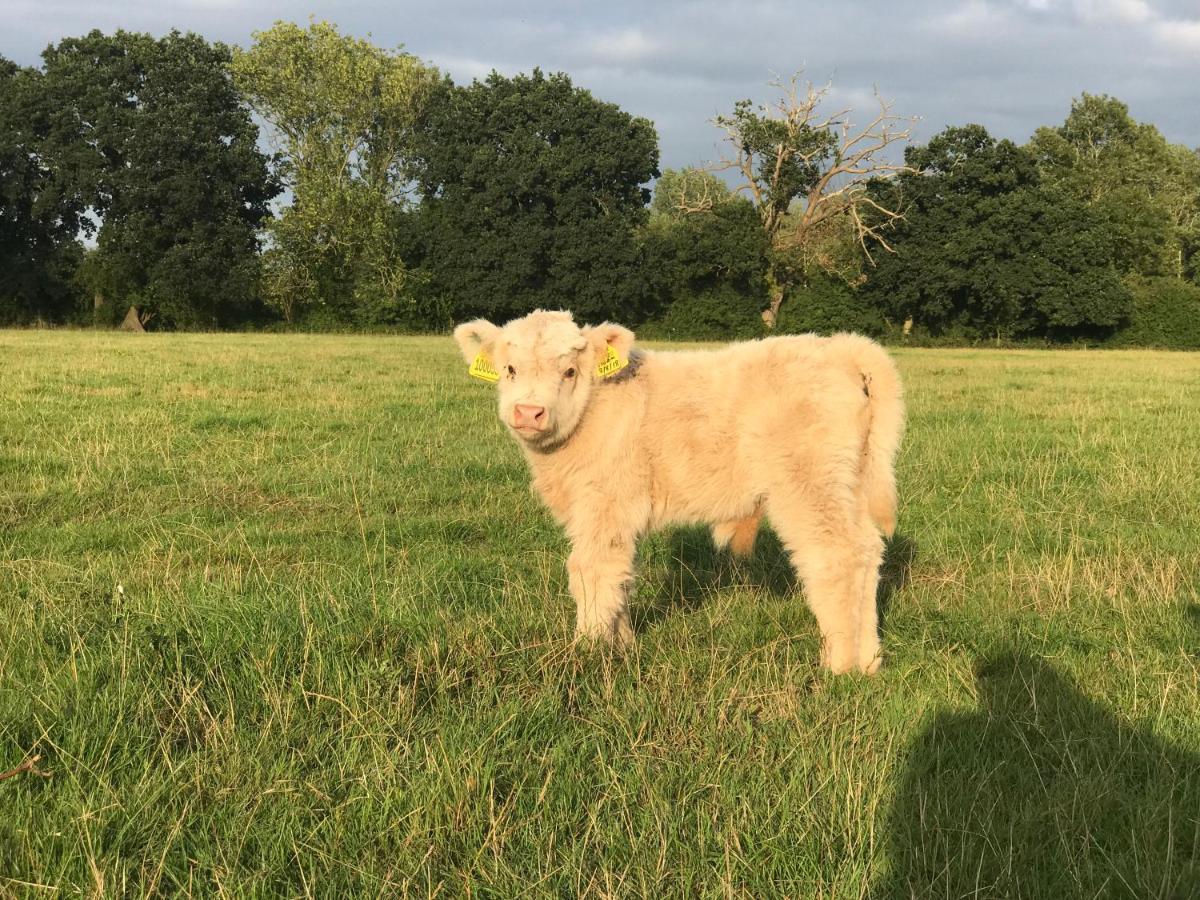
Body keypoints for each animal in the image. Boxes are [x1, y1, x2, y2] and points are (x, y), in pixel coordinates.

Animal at [453, 314, 902, 672]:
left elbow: (591, 572)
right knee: (867, 551)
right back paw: (870, 661)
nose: (528, 412)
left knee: (836, 556)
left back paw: (839, 665)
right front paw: (624, 645)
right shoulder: (617, 515)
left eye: (569, 372)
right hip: (850, 480)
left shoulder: (604, 506)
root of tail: (839, 348)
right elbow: (622, 576)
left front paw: (586, 652)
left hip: (809, 483)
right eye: (510, 369)